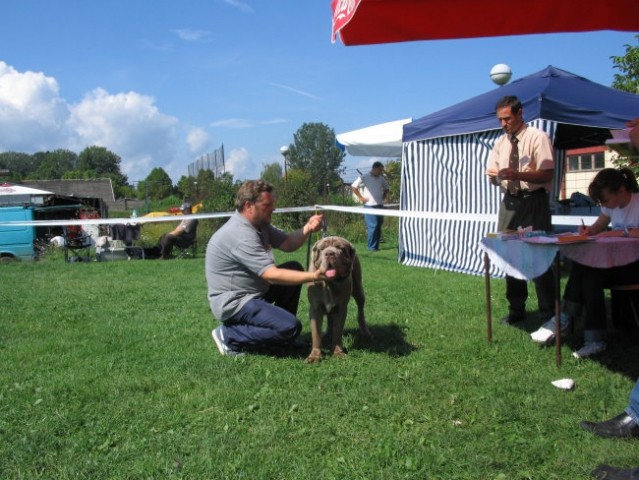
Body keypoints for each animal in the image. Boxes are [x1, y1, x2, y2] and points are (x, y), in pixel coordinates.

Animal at [304, 236, 370, 364]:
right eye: (322, 249)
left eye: (340, 248)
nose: (330, 253)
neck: (329, 284)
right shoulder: (315, 308)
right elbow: (316, 333)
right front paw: (314, 356)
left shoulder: (341, 308)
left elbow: (338, 331)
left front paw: (337, 353)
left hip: (359, 290)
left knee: (360, 311)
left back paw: (366, 333)